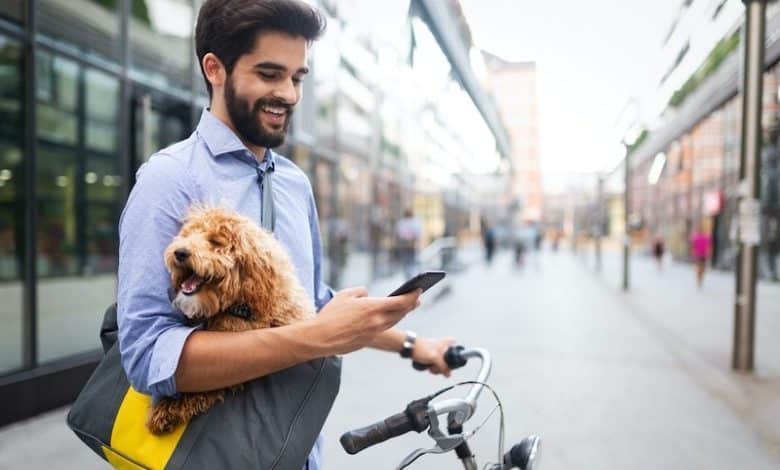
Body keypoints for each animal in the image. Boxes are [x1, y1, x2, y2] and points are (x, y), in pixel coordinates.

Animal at [146, 206, 314, 434]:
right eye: (188, 234)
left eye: (216, 242)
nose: (180, 252)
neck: (242, 305)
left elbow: (206, 386)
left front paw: (167, 409)